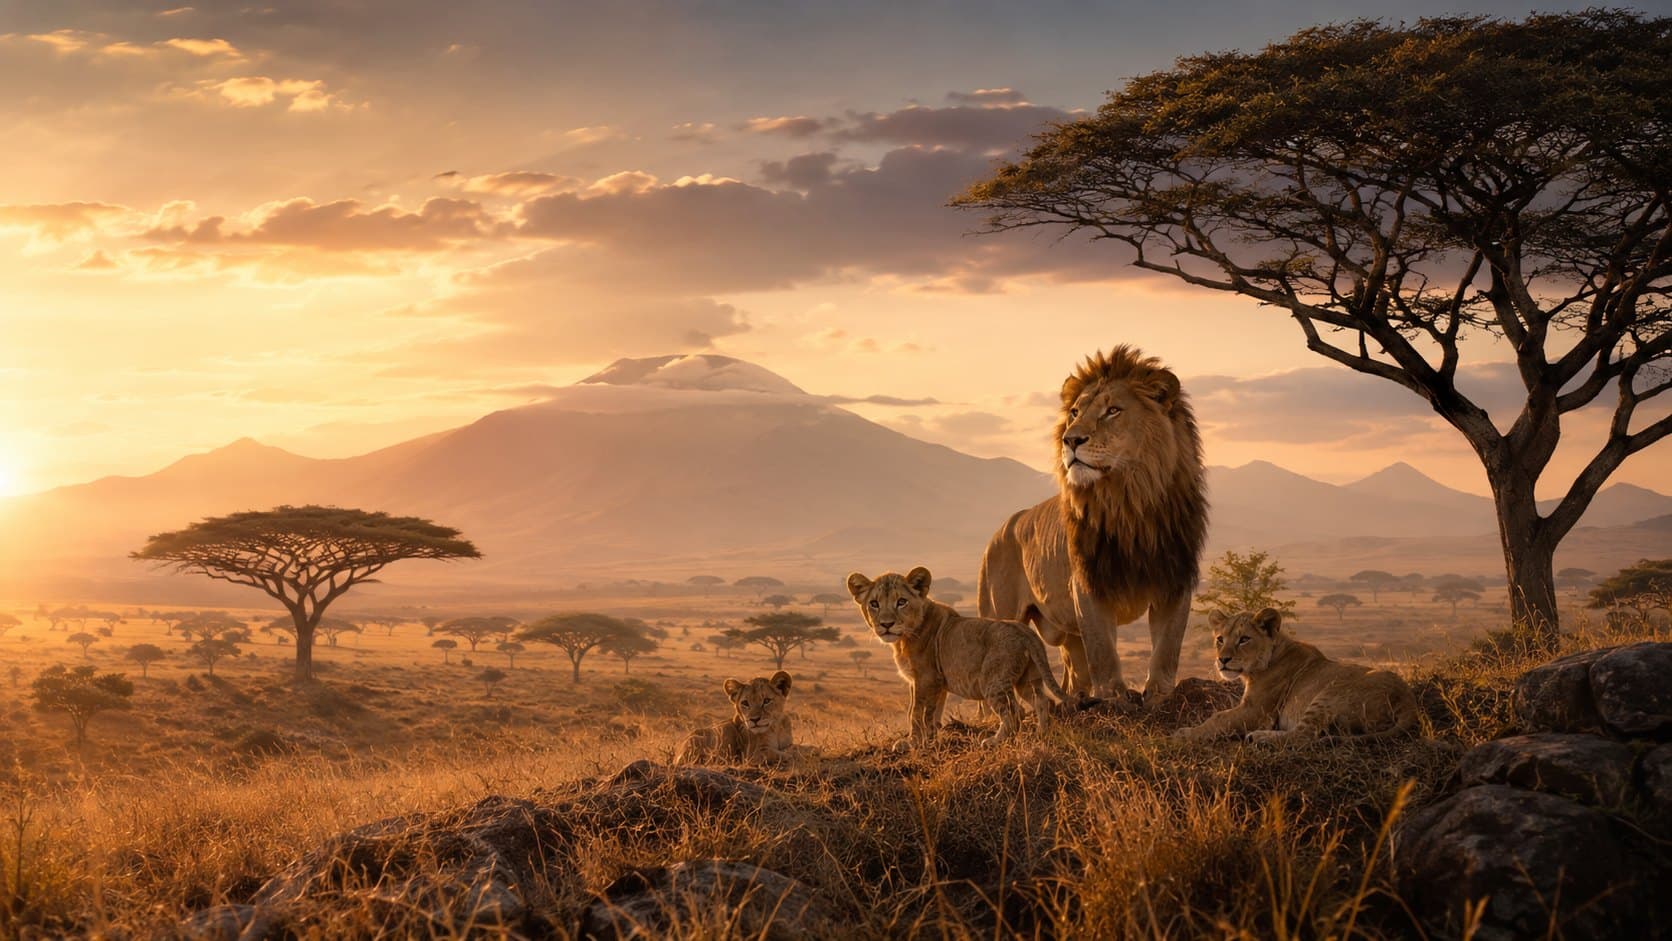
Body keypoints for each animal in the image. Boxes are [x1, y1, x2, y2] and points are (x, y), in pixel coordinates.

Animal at [847, 566, 1070, 749]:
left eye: (901, 602)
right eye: (874, 604)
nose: (886, 624)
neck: (903, 639)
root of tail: (1025, 631)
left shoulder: (926, 678)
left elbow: (916, 712)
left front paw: (912, 743)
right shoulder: (934, 682)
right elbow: (932, 711)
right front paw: (931, 737)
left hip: (993, 681)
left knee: (1016, 712)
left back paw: (994, 741)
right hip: (1027, 678)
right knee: (1042, 701)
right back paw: (1041, 735)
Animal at [978, 346, 1207, 702]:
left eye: (1113, 410)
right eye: (1074, 412)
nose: (1070, 440)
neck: (1129, 502)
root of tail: (998, 533)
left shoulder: (1175, 579)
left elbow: (1168, 647)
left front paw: (1159, 695)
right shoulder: (1088, 582)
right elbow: (1103, 648)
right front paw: (1114, 696)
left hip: (1066, 633)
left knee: (1073, 674)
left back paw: (1076, 701)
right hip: (998, 613)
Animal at [1174, 608, 1420, 744]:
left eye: (1244, 639)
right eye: (1220, 639)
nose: (1223, 660)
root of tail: (1408, 700)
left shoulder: (1257, 711)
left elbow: (1218, 718)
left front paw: (1185, 733)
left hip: (1328, 694)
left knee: (1303, 736)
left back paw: (1261, 737)